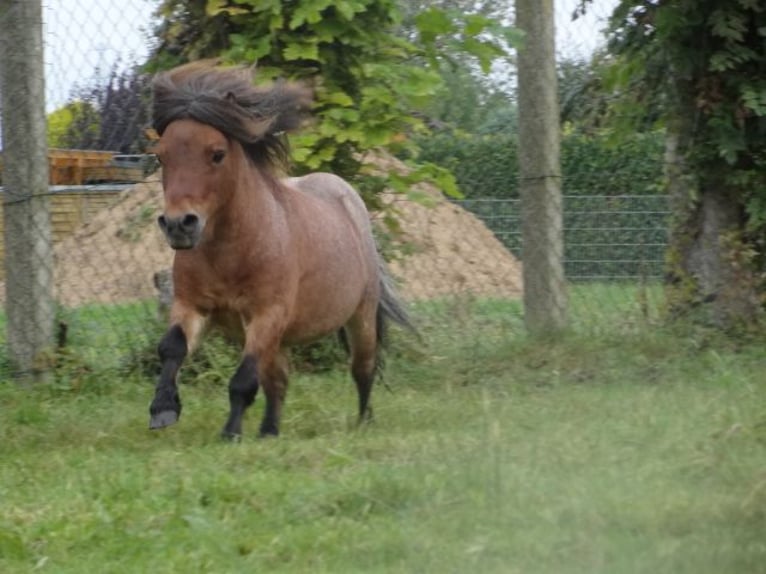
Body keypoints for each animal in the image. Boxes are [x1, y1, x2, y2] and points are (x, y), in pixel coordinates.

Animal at [148, 63, 414, 440]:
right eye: (161, 156)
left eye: (217, 154)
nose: (178, 225)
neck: (231, 252)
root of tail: (348, 198)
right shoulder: (193, 306)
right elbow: (171, 348)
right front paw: (163, 409)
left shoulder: (267, 314)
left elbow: (243, 380)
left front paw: (230, 432)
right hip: (279, 339)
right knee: (279, 380)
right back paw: (269, 432)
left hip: (359, 317)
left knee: (363, 368)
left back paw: (364, 423)